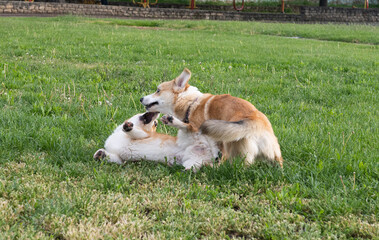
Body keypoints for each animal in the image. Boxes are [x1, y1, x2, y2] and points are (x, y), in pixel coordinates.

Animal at [141, 68, 284, 168]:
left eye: (158, 90)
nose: (141, 98)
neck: (190, 103)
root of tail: (255, 122)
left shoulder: (198, 128)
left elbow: (189, 127)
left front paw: (172, 120)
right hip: (272, 151)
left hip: (228, 139)